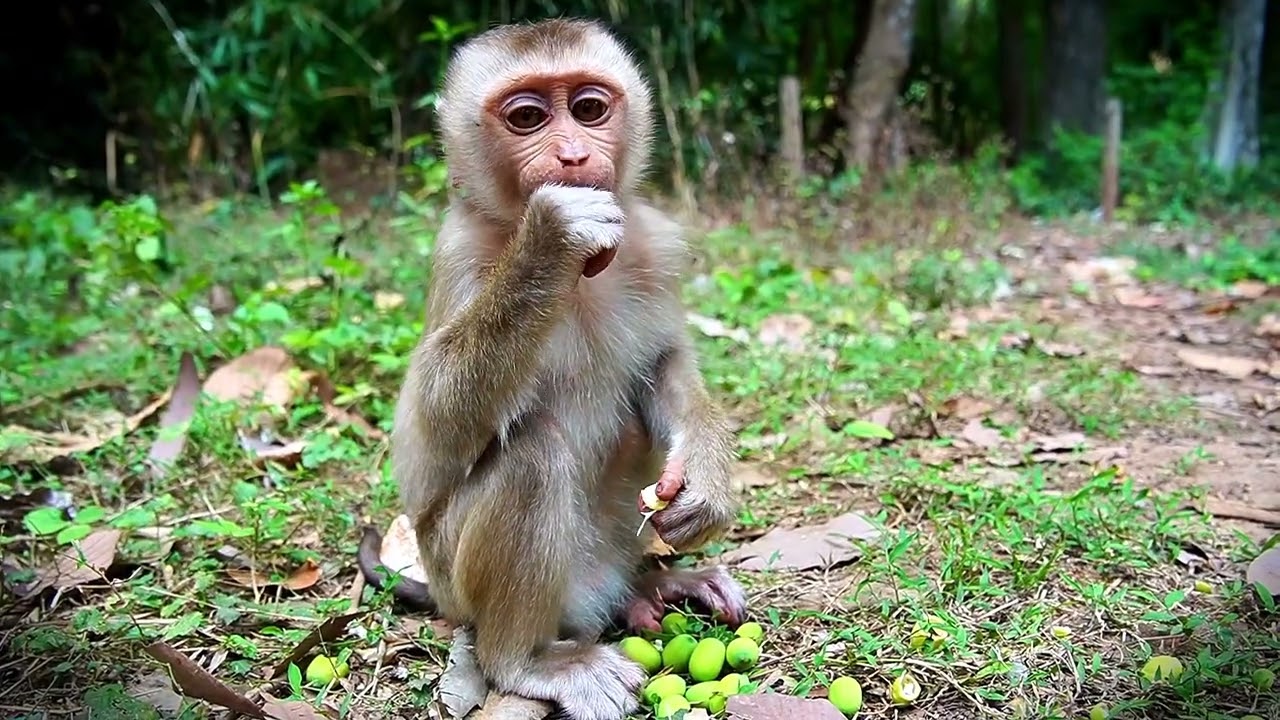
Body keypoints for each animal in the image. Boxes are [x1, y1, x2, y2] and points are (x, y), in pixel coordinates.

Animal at [389, 17, 746, 720]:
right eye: (527, 117)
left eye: (588, 109)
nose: (575, 158)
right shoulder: (458, 251)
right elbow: (430, 438)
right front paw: (550, 239)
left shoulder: (653, 241)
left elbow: (665, 365)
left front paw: (706, 478)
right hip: (454, 579)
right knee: (531, 453)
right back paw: (526, 661)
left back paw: (656, 584)